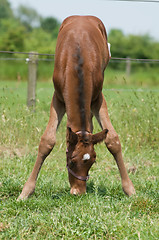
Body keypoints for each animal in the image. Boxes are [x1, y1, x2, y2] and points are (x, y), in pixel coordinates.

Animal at [18, 15, 135, 201]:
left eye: (93, 160)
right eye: (71, 161)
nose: (78, 192)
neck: (77, 62)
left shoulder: (97, 98)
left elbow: (113, 140)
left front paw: (130, 189)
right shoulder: (58, 98)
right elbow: (47, 141)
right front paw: (25, 192)